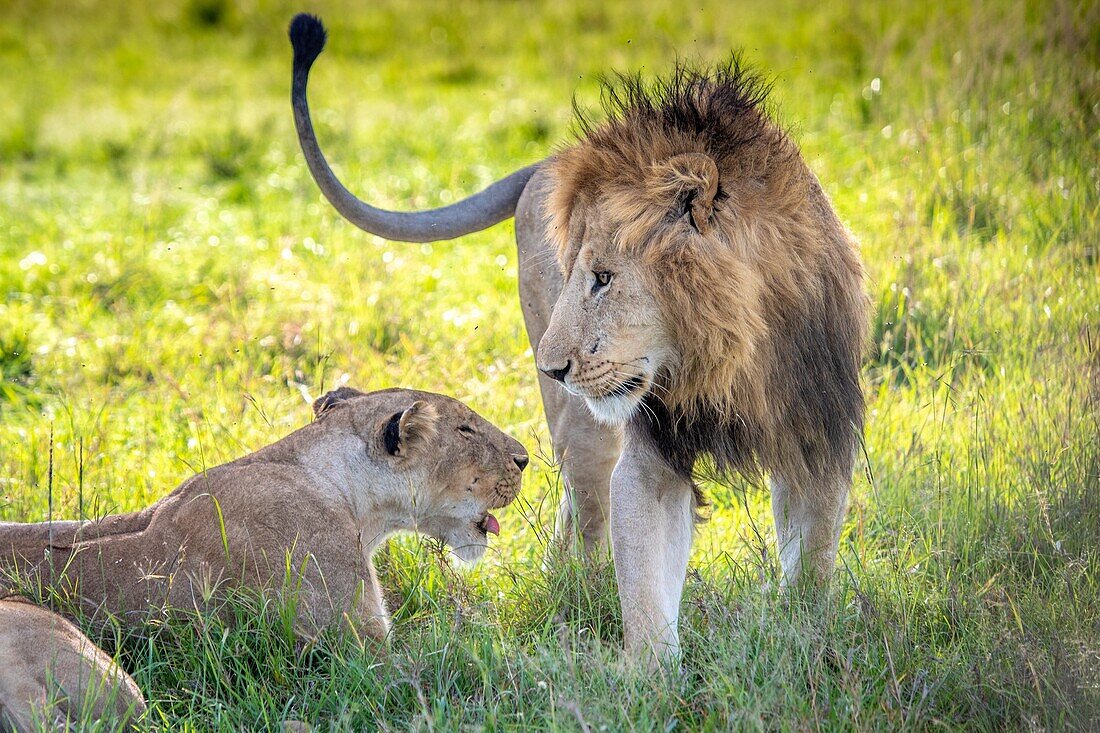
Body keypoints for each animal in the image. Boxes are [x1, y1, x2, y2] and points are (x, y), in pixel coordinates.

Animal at [290, 15, 866, 660]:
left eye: (606, 278)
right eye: (578, 272)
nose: (552, 369)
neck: (722, 358)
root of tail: (546, 159)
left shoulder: (817, 427)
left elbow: (813, 558)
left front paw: (808, 636)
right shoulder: (653, 450)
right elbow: (645, 582)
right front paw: (650, 672)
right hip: (584, 429)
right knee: (589, 512)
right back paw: (580, 599)